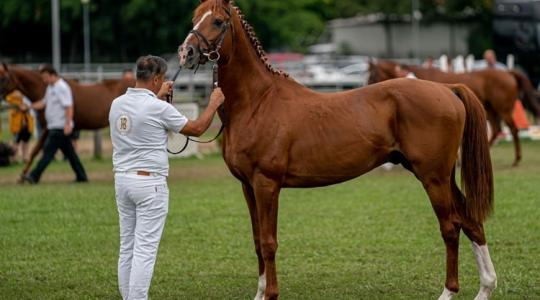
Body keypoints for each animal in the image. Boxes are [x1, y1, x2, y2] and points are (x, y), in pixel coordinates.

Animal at [179, 1, 496, 298]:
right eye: (194, 18)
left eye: (217, 21)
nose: (186, 53)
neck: (257, 102)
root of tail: (448, 89)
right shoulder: (248, 186)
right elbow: (257, 241)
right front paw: (259, 293)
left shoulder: (266, 184)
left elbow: (269, 242)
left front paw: (271, 293)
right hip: (442, 177)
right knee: (471, 222)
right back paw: (485, 287)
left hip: (433, 178)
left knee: (451, 227)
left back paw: (448, 291)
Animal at [368, 58, 540, 166]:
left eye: (373, 74)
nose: (368, 86)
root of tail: (509, 72)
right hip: (490, 109)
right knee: (497, 129)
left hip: (502, 109)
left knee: (513, 130)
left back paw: (516, 159)